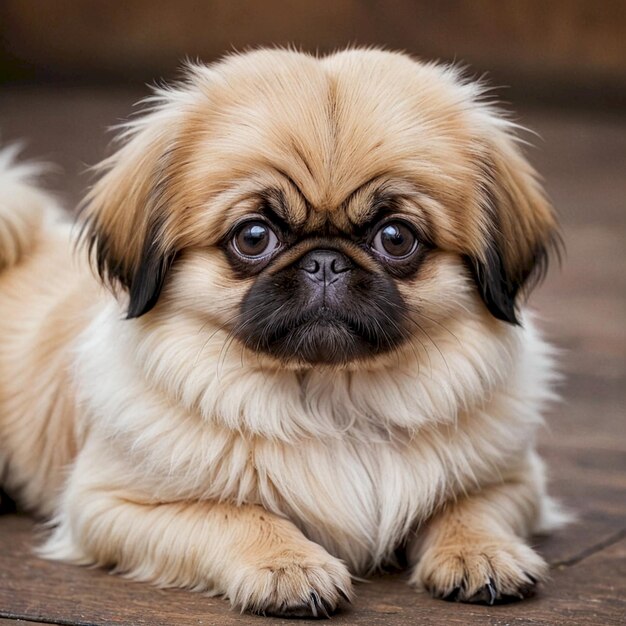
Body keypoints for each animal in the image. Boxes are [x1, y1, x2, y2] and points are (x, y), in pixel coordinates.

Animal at [0, 48, 564, 616]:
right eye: (253, 236)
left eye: (396, 237)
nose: (325, 261)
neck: (334, 400)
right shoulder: (112, 504)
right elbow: (236, 515)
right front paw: (287, 566)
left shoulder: (514, 480)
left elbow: (466, 507)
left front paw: (481, 553)